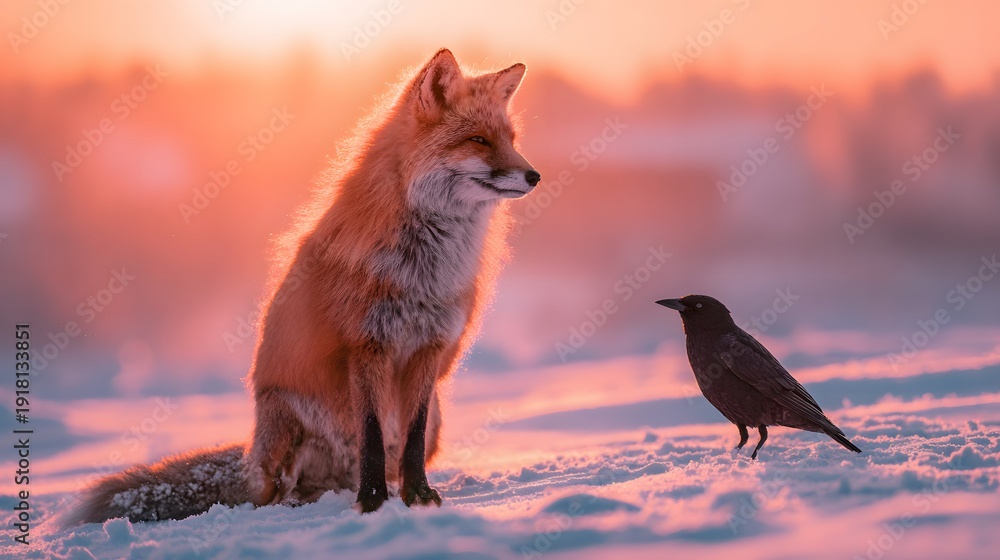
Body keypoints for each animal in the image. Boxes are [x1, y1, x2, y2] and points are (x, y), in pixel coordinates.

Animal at [66, 48, 539, 524]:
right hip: (284, 431)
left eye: (512, 139)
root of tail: (250, 456)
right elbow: (370, 435)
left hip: (436, 416)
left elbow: (413, 439)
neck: (423, 269)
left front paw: (417, 497)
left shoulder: (429, 348)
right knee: (273, 494)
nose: (534, 175)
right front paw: (372, 505)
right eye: (478, 140)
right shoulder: (366, 344)